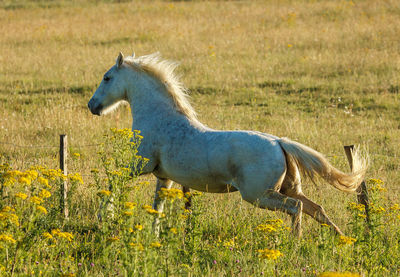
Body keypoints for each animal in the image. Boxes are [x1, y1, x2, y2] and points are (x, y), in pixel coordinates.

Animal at [89, 51, 368, 235]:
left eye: (107, 78)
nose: (92, 106)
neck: (160, 118)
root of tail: (280, 142)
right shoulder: (163, 177)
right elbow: (158, 207)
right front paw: (153, 236)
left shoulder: (139, 166)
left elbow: (112, 181)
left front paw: (104, 216)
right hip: (288, 188)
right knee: (316, 209)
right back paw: (341, 239)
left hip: (259, 195)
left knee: (296, 208)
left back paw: (295, 243)